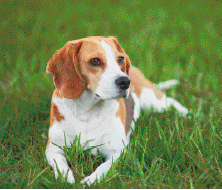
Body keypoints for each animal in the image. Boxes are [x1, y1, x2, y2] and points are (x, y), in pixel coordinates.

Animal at [46, 36, 188, 185]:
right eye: (95, 61)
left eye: (120, 59)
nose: (125, 81)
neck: (87, 112)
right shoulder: (53, 150)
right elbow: (60, 164)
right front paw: (65, 178)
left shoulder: (117, 152)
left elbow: (103, 167)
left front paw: (90, 181)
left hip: (153, 100)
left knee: (171, 103)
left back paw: (188, 114)